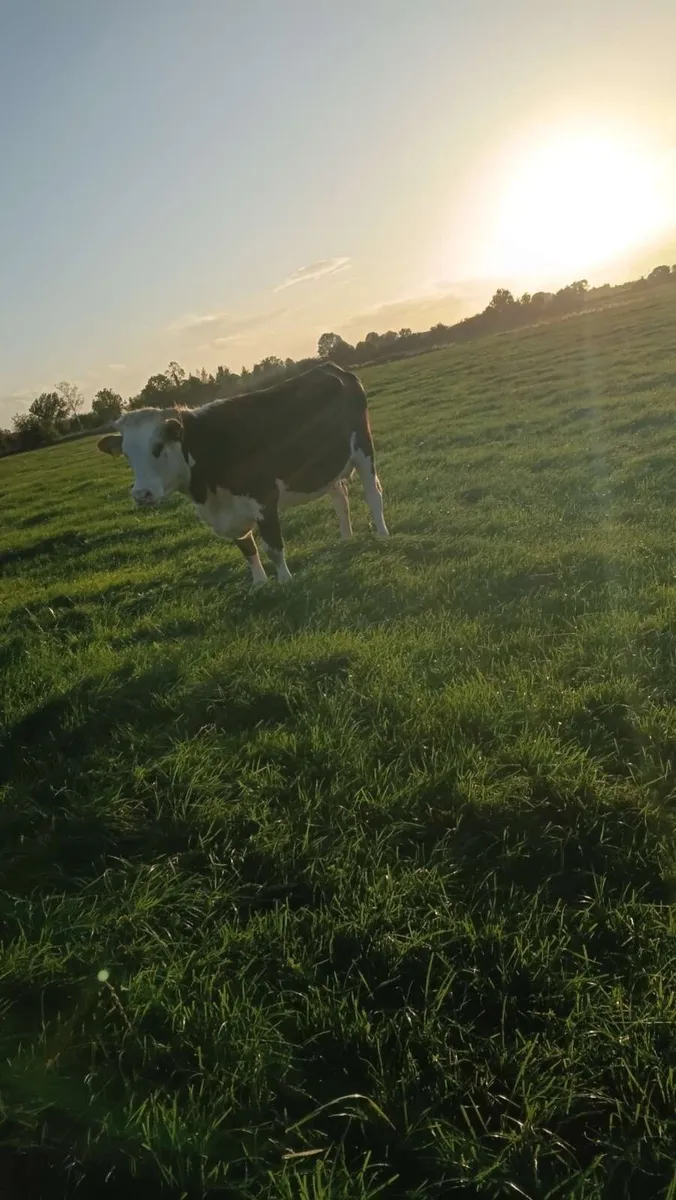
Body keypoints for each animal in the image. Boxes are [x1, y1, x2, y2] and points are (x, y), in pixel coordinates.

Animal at [97, 362, 389, 585]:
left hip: (363, 450)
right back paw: (346, 538)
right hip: (327, 465)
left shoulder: (264, 498)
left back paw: (383, 534)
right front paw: (259, 584)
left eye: (157, 447)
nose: (141, 494)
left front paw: (285, 581)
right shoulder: (229, 513)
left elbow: (273, 546)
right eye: (126, 454)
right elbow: (248, 549)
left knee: (373, 494)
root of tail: (330, 367)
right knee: (341, 499)